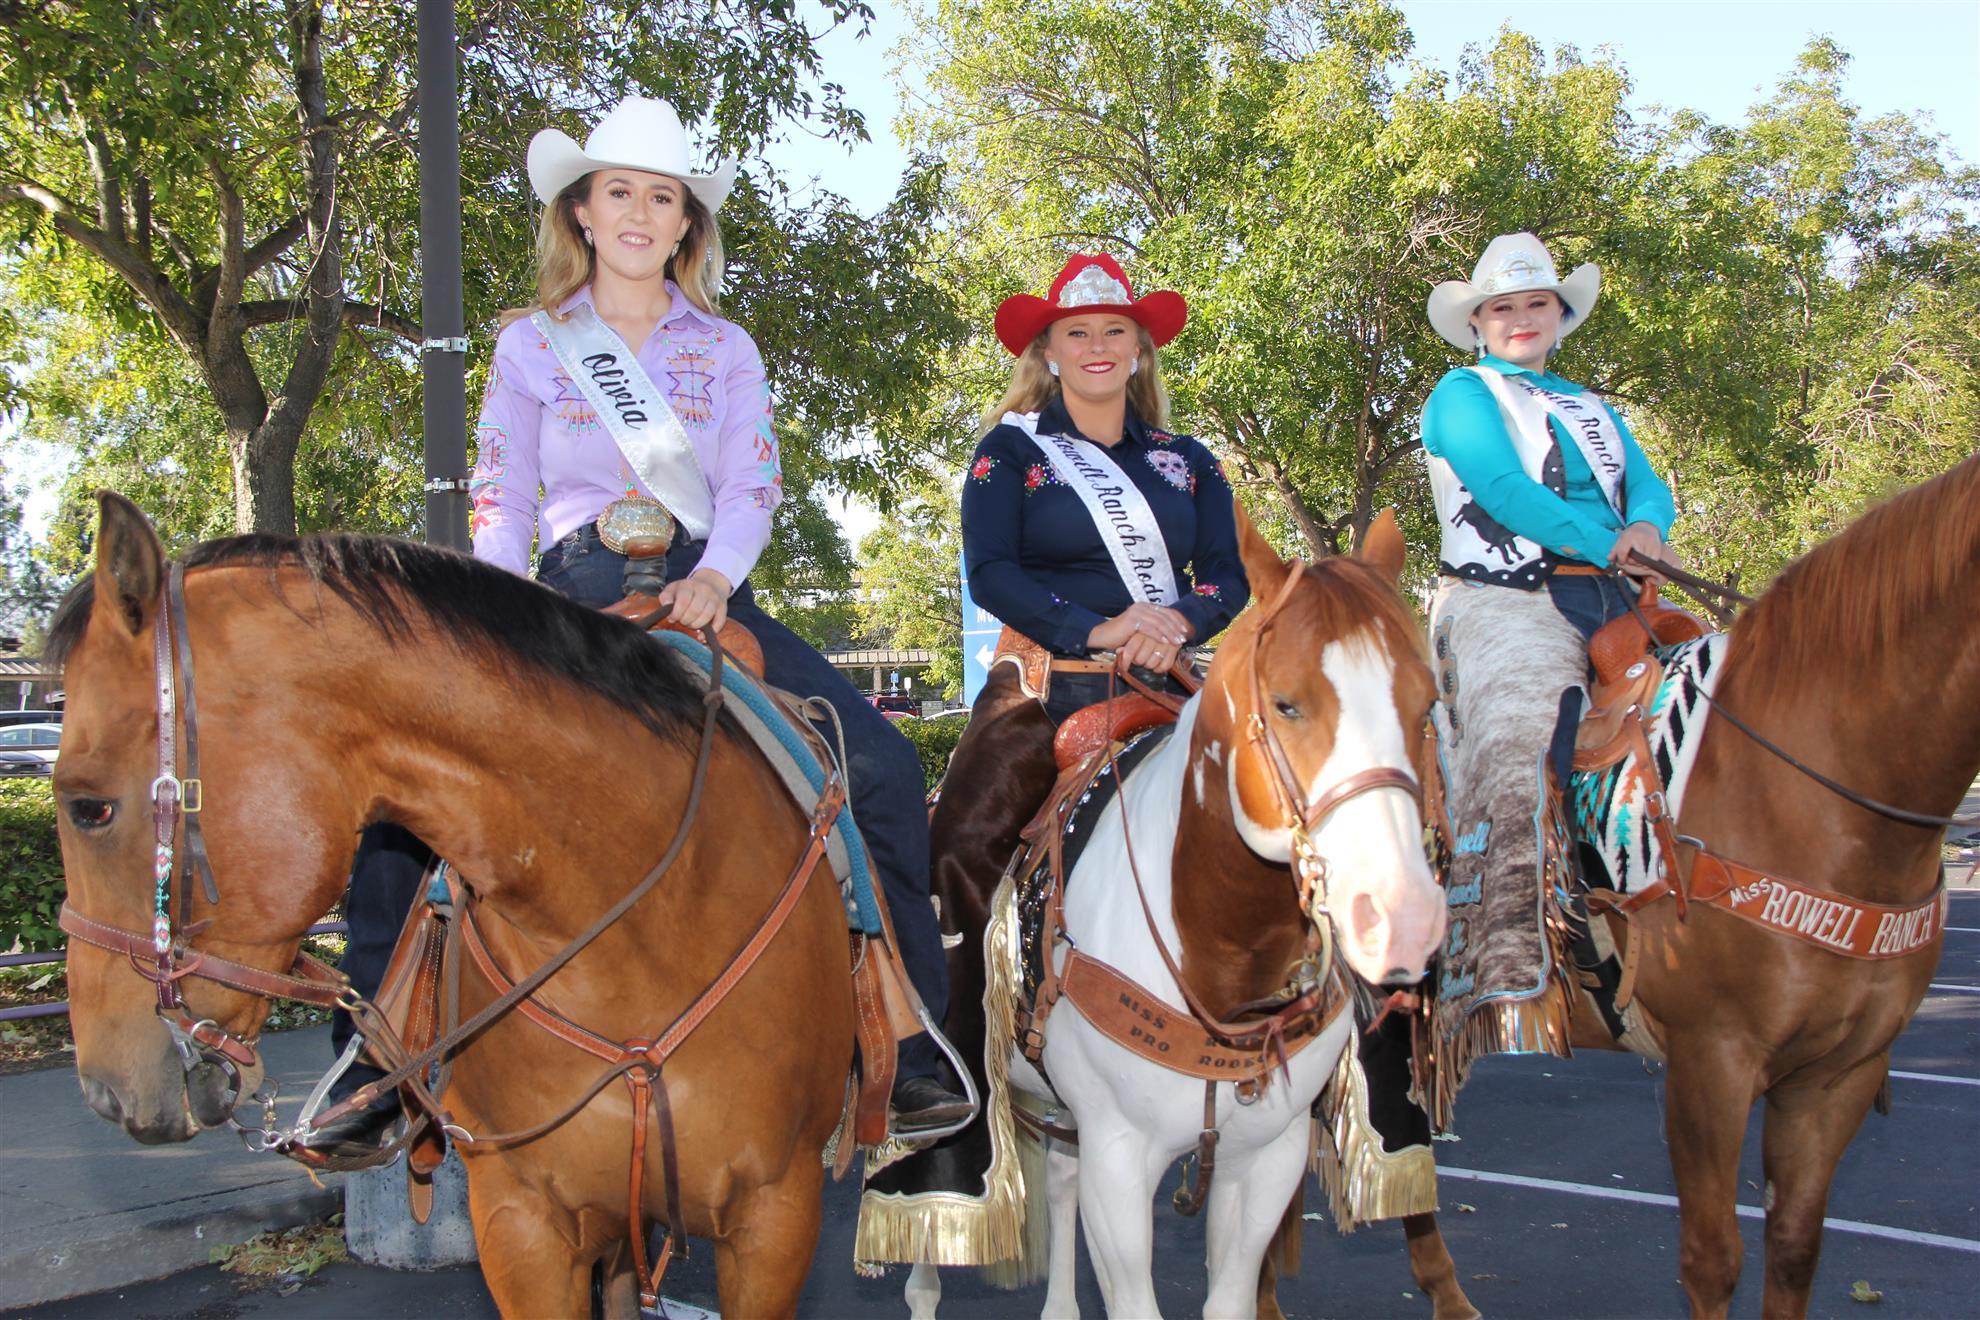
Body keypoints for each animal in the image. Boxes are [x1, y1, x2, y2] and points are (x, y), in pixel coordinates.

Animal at [902, 514, 1473, 1320]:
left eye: (1427, 706)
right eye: (1287, 703)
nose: (1402, 917)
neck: (1215, 954)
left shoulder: (1263, 1159)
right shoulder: (1119, 1163)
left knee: (1060, 1182)